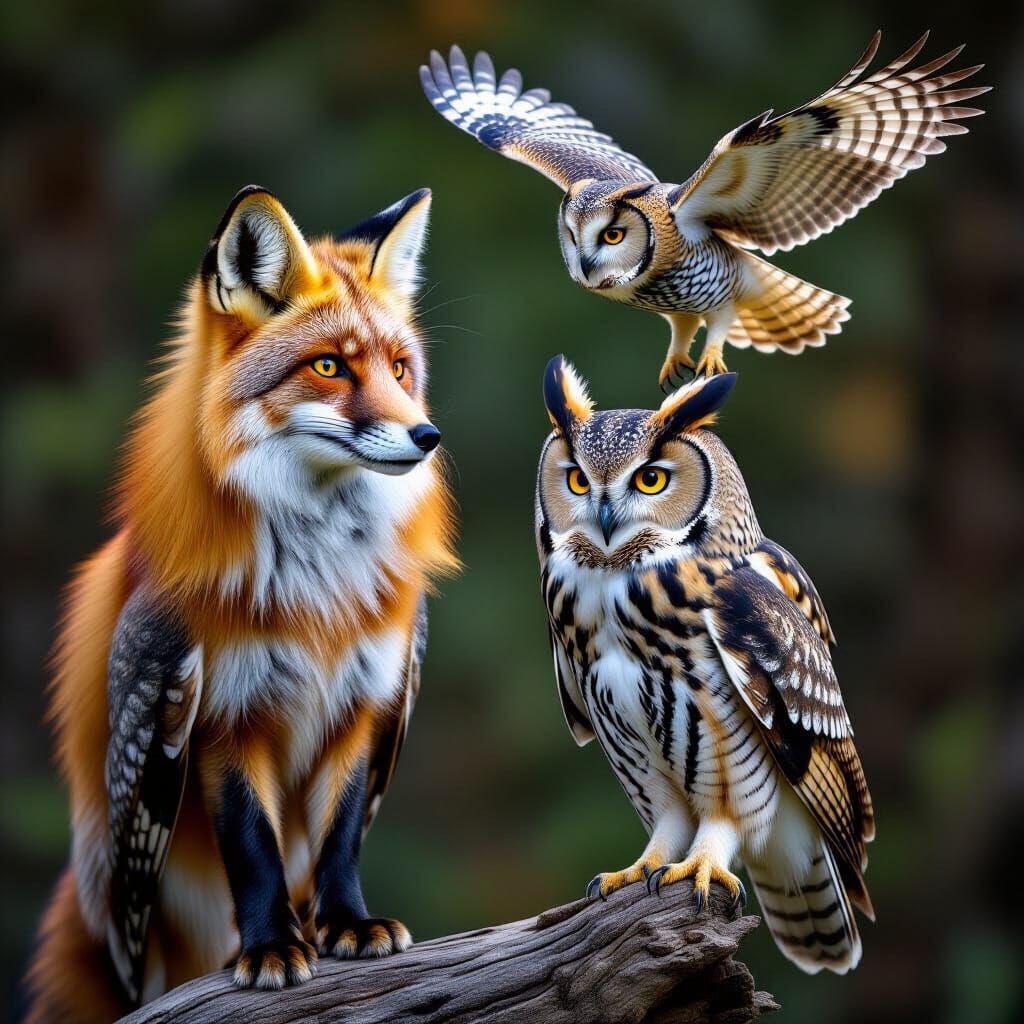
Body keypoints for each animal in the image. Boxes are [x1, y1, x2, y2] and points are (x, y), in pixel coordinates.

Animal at [25, 185, 458, 1022]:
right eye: (329, 367)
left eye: (399, 368)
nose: (427, 435)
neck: (319, 589)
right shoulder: (223, 717)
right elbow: (253, 847)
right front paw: (271, 949)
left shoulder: (367, 705)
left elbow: (340, 838)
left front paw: (347, 925)